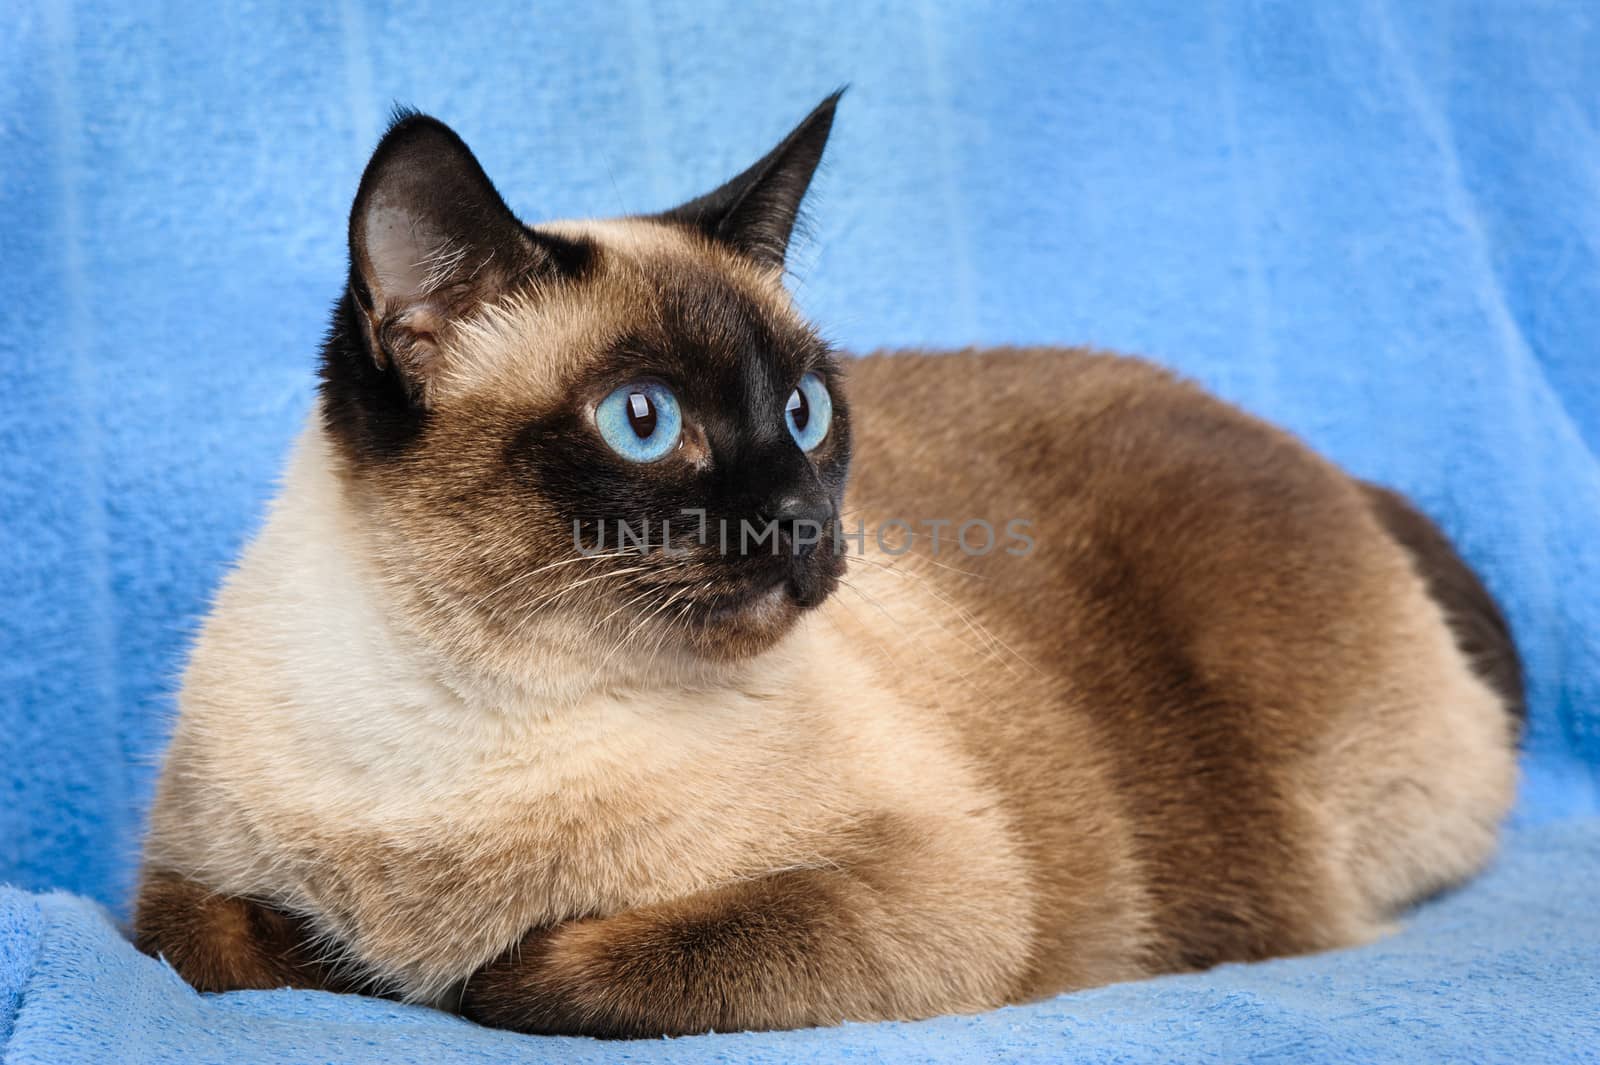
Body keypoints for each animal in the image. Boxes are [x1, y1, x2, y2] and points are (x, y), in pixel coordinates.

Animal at [131, 95, 1516, 1029]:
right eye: (645, 422)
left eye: (802, 412)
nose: (805, 521)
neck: (479, 712)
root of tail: (1321, 463)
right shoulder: (175, 895)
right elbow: (240, 950)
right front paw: (370, 964)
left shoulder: (928, 885)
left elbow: (548, 969)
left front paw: (454, 974)